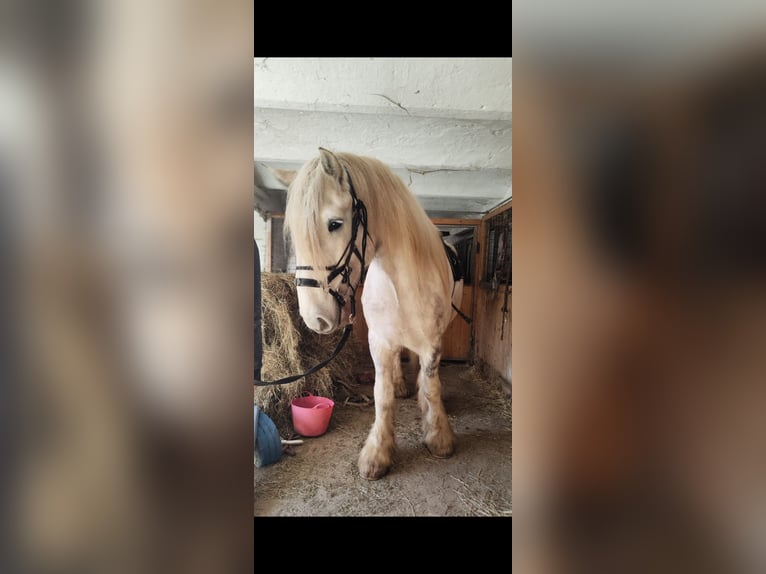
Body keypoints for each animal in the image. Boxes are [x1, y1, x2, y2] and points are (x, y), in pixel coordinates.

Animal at [282, 148, 462, 482]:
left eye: (334, 223)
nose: (315, 318)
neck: (401, 280)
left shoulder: (432, 342)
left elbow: (431, 387)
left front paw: (438, 437)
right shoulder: (379, 341)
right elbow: (382, 395)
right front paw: (377, 453)